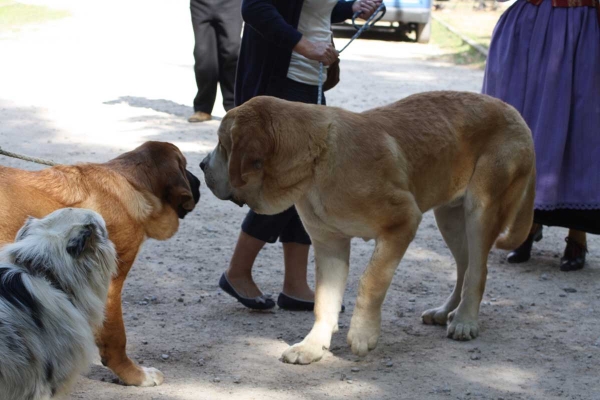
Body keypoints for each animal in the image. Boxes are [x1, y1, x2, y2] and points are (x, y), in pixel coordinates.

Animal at [200, 92, 536, 364]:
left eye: (223, 144)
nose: (202, 165)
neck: (318, 161)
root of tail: (517, 113)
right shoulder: (329, 244)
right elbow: (324, 299)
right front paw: (313, 345)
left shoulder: (403, 222)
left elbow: (370, 281)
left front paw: (363, 334)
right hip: (449, 219)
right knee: (463, 268)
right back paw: (445, 312)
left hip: (480, 210)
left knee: (478, 270)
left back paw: (465, 320)